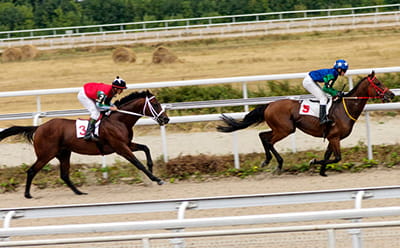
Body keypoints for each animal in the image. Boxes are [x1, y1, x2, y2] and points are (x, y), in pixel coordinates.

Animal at [0, 90, 169, 199]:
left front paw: (151, 168)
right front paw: (156, 179)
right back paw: (27, 194)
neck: (118, 121)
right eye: (155, 104)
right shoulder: (120, 147)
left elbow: (145, 148)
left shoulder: (127, 143)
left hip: (63, 153)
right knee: (31, 171)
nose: (166, 119)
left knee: (64, 174)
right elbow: (137, 163)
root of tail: (39, 127)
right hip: (46, 154)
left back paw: (79, 192)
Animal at [217, 71, 392, 176]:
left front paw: (322, 171)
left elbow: (328, 155)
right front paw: (313, 162)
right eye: (378, 83)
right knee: (268, 140)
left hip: (280, 128)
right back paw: (277, 164)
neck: (345, 108)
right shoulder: (335, 137)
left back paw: (268, 161)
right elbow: (337, 158)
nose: (391, 94)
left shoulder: (332, 138)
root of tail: (270, 105)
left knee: (262, 135)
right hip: (285, 129)